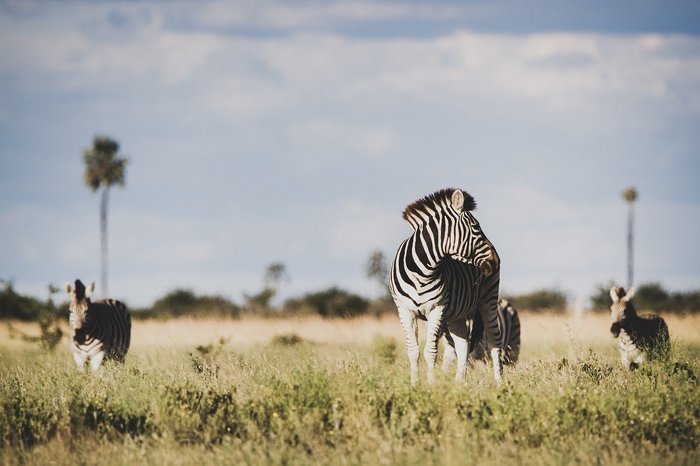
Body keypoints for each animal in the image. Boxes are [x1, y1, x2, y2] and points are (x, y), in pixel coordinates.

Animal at [388, 187, 504, 384]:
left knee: (494, 343)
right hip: (457, 313)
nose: (496, 261)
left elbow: (430, 351)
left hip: (488, 299)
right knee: (463, 343)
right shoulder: (404, 309)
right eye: (476, 228)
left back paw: (500, 384)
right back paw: (459, 383)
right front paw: (414, 385)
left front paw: (431, 385)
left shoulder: (437, 308)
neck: (422, 271)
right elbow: (413, 351)